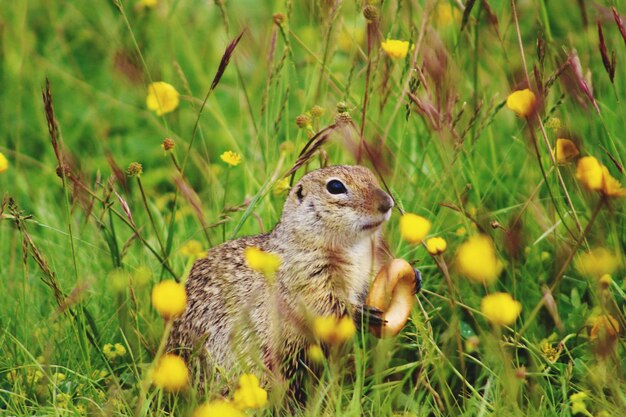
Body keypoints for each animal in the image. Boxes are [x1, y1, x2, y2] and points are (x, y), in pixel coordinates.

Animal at [167, 164, 414, 398]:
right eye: (335, 187)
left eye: (369, 174)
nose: (388, 203)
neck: (354, 248)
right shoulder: (307, 276)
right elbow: (324, 306)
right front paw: (359, 313)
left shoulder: (367, 268)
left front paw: (416, 278)